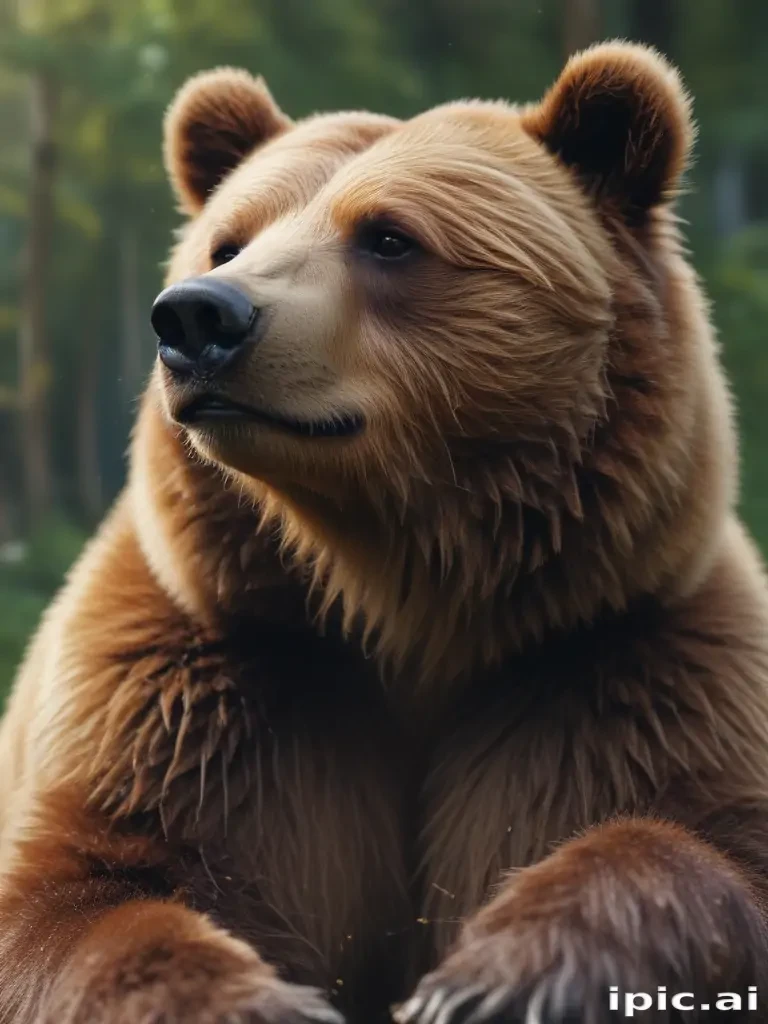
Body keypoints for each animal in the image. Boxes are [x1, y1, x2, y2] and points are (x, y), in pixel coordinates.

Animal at [1, 39, 768, 1024]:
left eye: (390, 237)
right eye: (229, 239)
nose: (198, 315)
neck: (394, 584)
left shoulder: (620, 661)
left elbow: (697, 843)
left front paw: (494, 979)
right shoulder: (203, 687)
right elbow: (81, 890)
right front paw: (262, 1000)